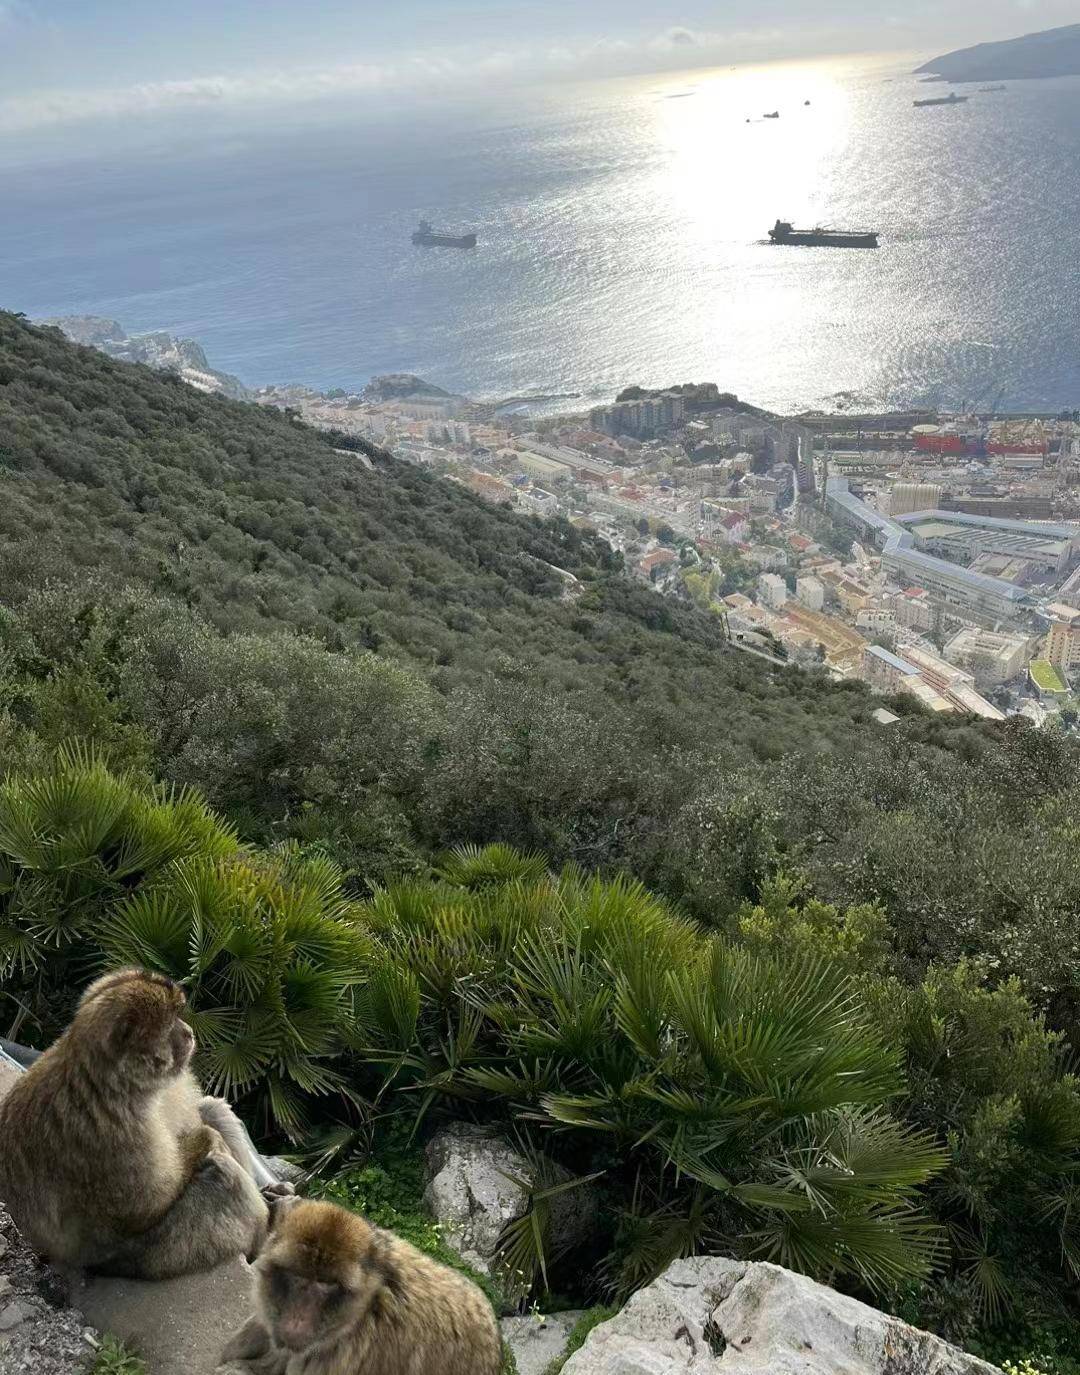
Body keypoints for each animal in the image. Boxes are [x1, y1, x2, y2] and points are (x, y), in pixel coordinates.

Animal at [0, 968, 270, 1279]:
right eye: (171, 1024)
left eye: (179, 1015)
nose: (188, 1032)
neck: (118, 1083)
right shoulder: (114, 1136)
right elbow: (147, 1208)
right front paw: (207, 1137)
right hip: (158, 1256)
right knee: (218, 1176)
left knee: (214, 1112)